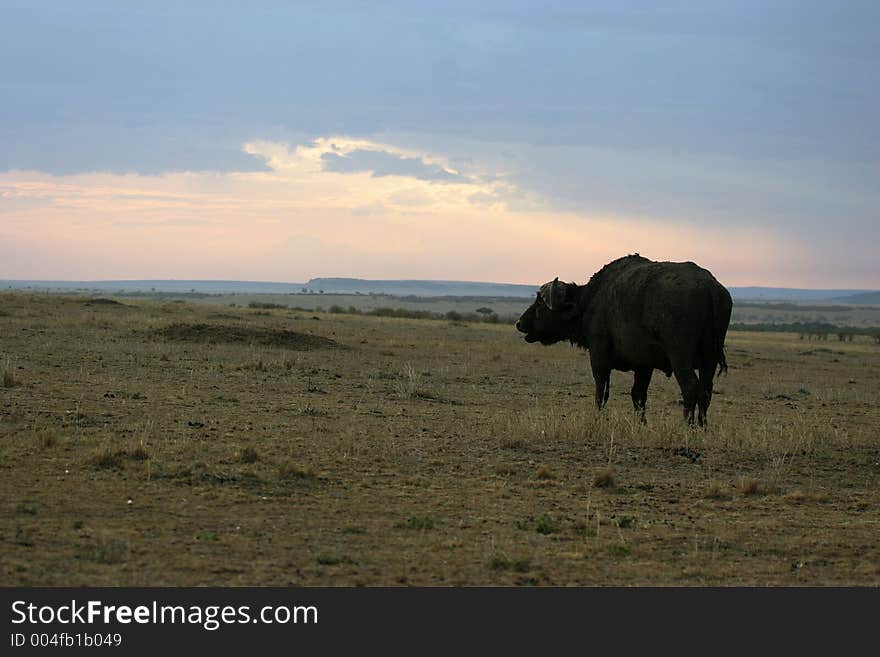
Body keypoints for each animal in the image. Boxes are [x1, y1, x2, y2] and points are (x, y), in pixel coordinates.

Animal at [512, 251, 732, 426]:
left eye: (540, 304)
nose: (519, 323)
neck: (590, 300)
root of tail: (709, 288)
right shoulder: (644, 366)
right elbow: (638, 395)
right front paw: (641, 423)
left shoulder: (599, 356)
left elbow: (601, 392)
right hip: (709, 359)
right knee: (705, 390)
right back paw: (702, 426)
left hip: (680, 357)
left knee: (690, 387)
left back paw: (688, 425)